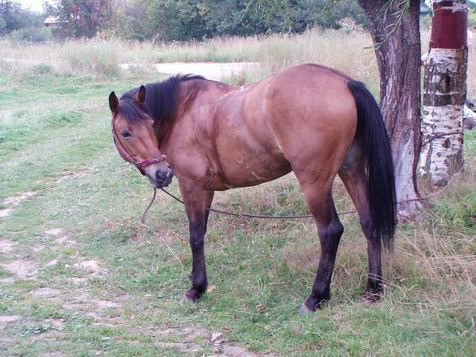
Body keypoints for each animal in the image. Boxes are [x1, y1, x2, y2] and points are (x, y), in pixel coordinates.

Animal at [109, 64, 396, 312]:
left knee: (330, 231)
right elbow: (201, 232)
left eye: (149, 125)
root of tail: (344, 82)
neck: (183, 110)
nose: (162, 173)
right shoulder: (206, 190)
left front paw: (196, 289)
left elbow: (195, 236)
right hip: (352, 171)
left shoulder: (192, 186)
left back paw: (316, 297)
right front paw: (196, 280)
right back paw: (373, 288)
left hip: (314, 184)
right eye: (126, 132)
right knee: (369, 223)